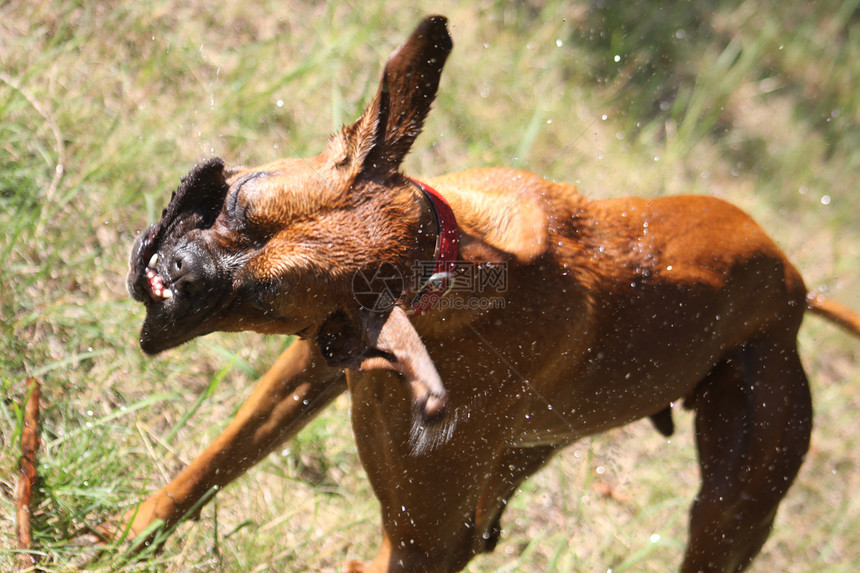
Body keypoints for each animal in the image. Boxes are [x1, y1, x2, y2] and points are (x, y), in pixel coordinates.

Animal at [124, 15, 856, 568]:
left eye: (263, 299)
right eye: (238, 201)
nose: (179, 267)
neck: (437, 264)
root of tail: (795, 282)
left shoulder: (425, 541)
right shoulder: (306, 370)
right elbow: (209, 468)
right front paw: (133, 538)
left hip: (729, 513)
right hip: (527, 456)